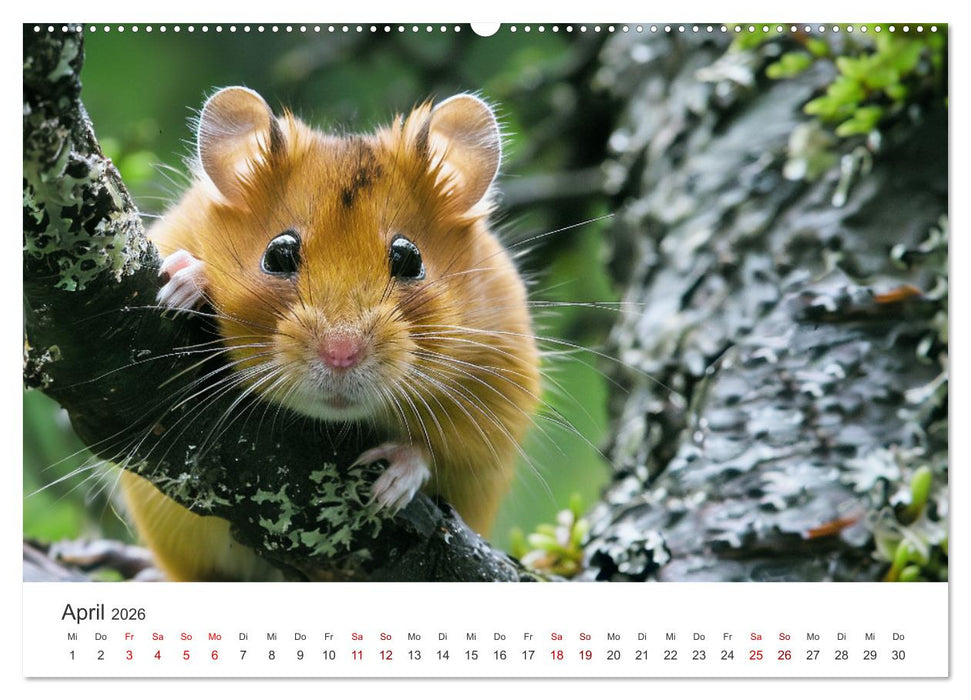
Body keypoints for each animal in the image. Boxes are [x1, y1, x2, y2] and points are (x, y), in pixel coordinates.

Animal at [119, 87, 542, 580]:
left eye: (410, 258)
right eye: (277, 254)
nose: (341, 355)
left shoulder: (499, 397)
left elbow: (436, 453)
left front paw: (389, 486)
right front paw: (187, 280)